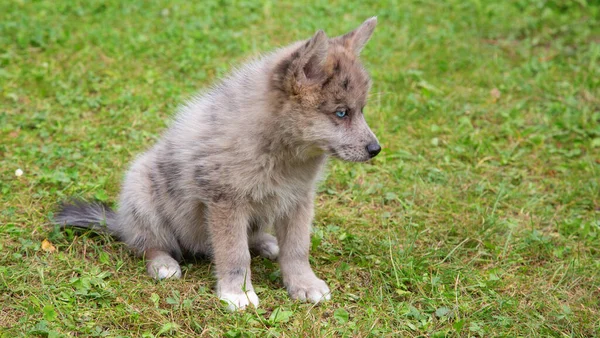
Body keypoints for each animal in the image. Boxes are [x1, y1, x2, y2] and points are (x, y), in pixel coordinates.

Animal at [58, 17, 382, 310]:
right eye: (341, 113)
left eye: (361, 110)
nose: (376, 149)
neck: (278, 147)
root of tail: (120, 222)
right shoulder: (225, 201)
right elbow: (235, 253)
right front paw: (238, 293)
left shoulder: (298, 199)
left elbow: (297, 248)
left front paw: (304, 284)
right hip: (142, 194)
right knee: (146, 244)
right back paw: (163, 263)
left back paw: (266, 242)